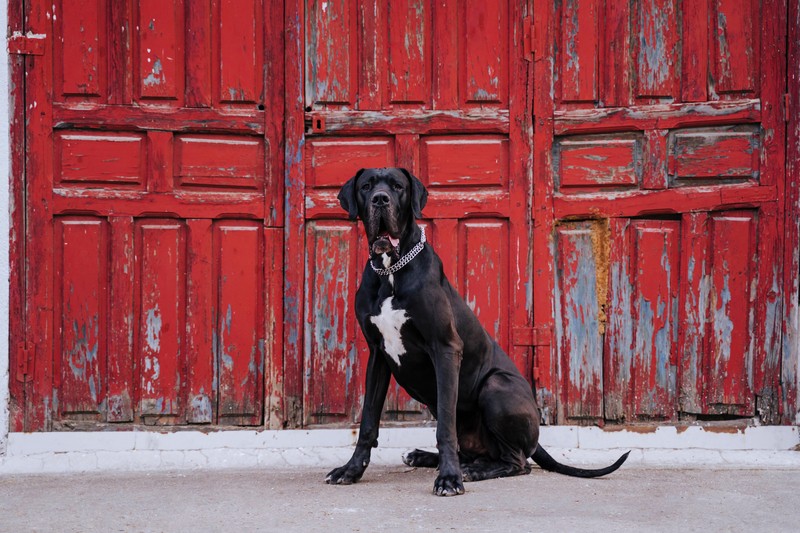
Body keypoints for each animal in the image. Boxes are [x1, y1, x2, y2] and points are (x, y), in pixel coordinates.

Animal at [324, 167, 624, 494]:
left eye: (397, 187)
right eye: (366, 186)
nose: (380, 199)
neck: (391, 269)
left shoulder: (445, 347)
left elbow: (445, 426)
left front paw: (449, 478)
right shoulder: (378, 355)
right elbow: (368, 421)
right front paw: (351, 470)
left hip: (496, 387)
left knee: (517, 462)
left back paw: (469, 471)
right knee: (479, 452)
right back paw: (427, 457)